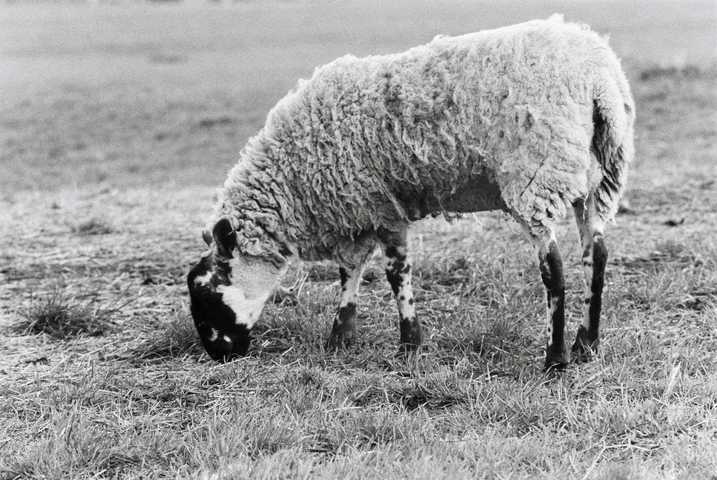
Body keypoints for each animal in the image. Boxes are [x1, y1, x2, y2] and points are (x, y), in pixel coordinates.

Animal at [187, 15, 635, 370]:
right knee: (596, 254)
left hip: (537, 174)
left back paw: (555, 357)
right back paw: (587, 343)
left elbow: (395, 273)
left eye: (204, 290)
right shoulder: (359, 210)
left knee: (553, 268)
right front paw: (339, 338)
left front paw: (408, 344)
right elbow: (351, 271)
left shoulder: (381, 206)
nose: (219, 356)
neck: (294, 182)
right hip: (596, 177)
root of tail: (599, 79)